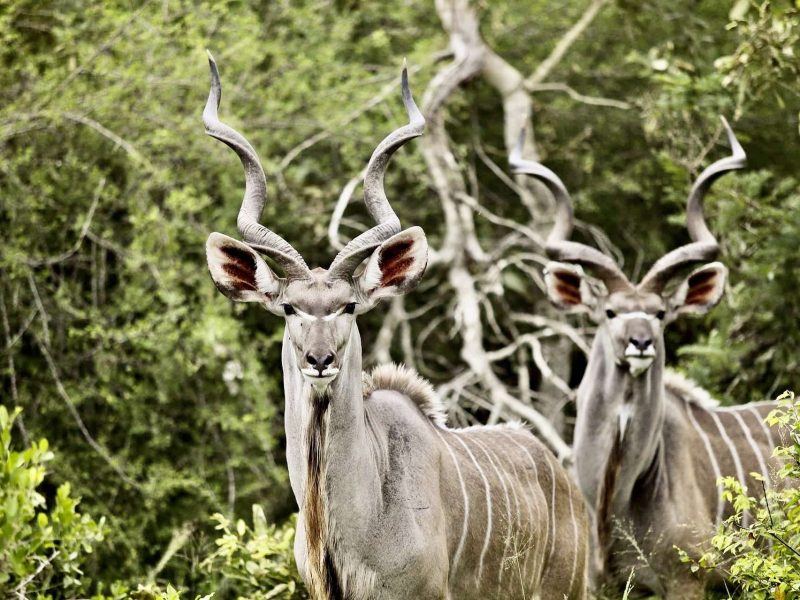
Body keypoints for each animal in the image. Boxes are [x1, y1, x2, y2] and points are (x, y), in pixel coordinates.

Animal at [512, 119, 780, 596]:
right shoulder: (607, 584)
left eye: (659, 313)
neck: (615, 496)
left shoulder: (687, 580)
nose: (640, 343)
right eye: (610, 312)